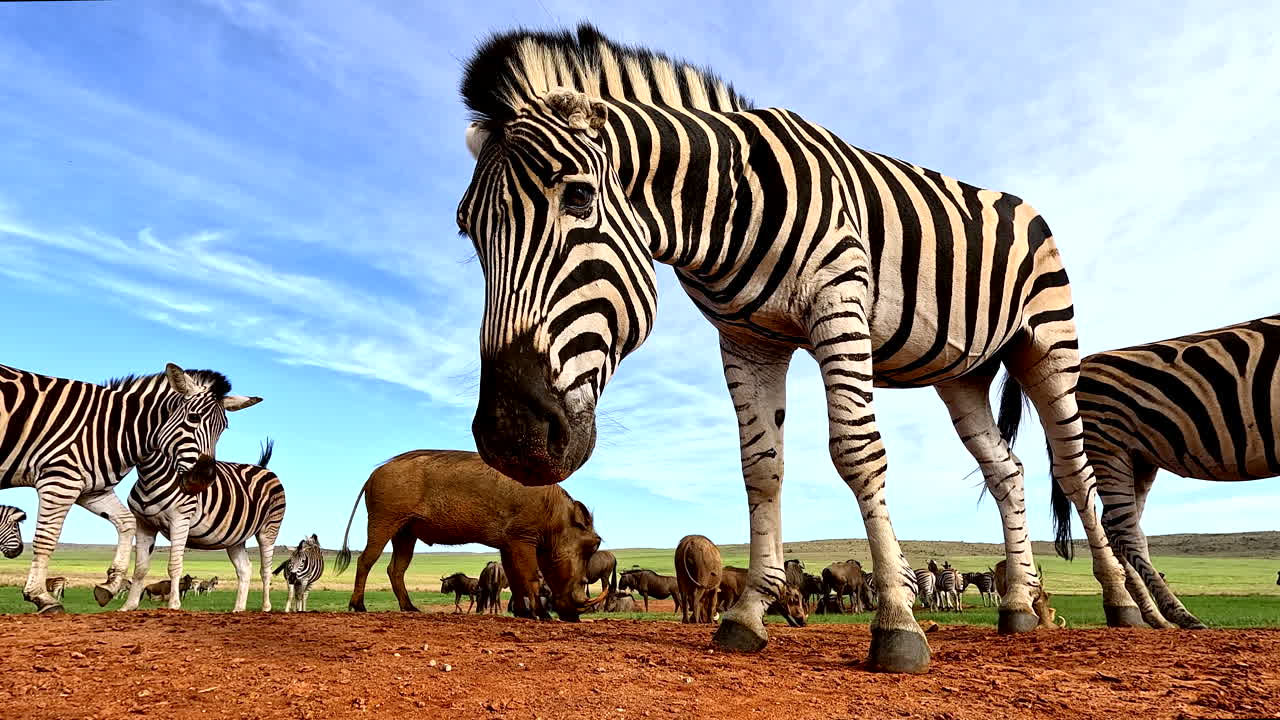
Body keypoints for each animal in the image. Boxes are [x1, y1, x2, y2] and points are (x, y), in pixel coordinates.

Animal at [0, 363, 260, 613]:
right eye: (193, 418)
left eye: (223, 428)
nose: (203, 480)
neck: (111, 427)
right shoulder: (60, 479)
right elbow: (46, 539)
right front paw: (40, 596)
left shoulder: (90, 489)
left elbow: (126, 523)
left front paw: (110, 585)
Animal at [121, 439, 286, 612]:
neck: (149, 478)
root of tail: (262, 468)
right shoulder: (144, 524)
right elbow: (140, 568)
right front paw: (129, 606)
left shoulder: (180, 520)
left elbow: (174, 566)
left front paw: (173, 604)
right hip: (235, 537)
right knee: (245, 569)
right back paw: (238, 609)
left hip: (269, 528)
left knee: (265, 570)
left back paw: (266, 607)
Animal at [457, 24, 1133, 672]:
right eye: (467, 231)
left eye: (577, 197)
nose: (509, 437)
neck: (730, 207)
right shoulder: (748, 341)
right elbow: (762, 469)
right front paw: (748, 614)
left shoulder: (840, 302)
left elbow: (857, 454)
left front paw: (898, 624)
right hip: (960, 373)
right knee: (1008, 473)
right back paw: (1018, 606)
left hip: (1048, 346)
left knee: (1073, 472)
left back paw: (1126, 603)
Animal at [1012, 314, 1278, 630]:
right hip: (1107, 448)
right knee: (1123, 528)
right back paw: (1179, 614)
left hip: (1139, 459)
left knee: (1116, 525)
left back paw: (1154, 616)